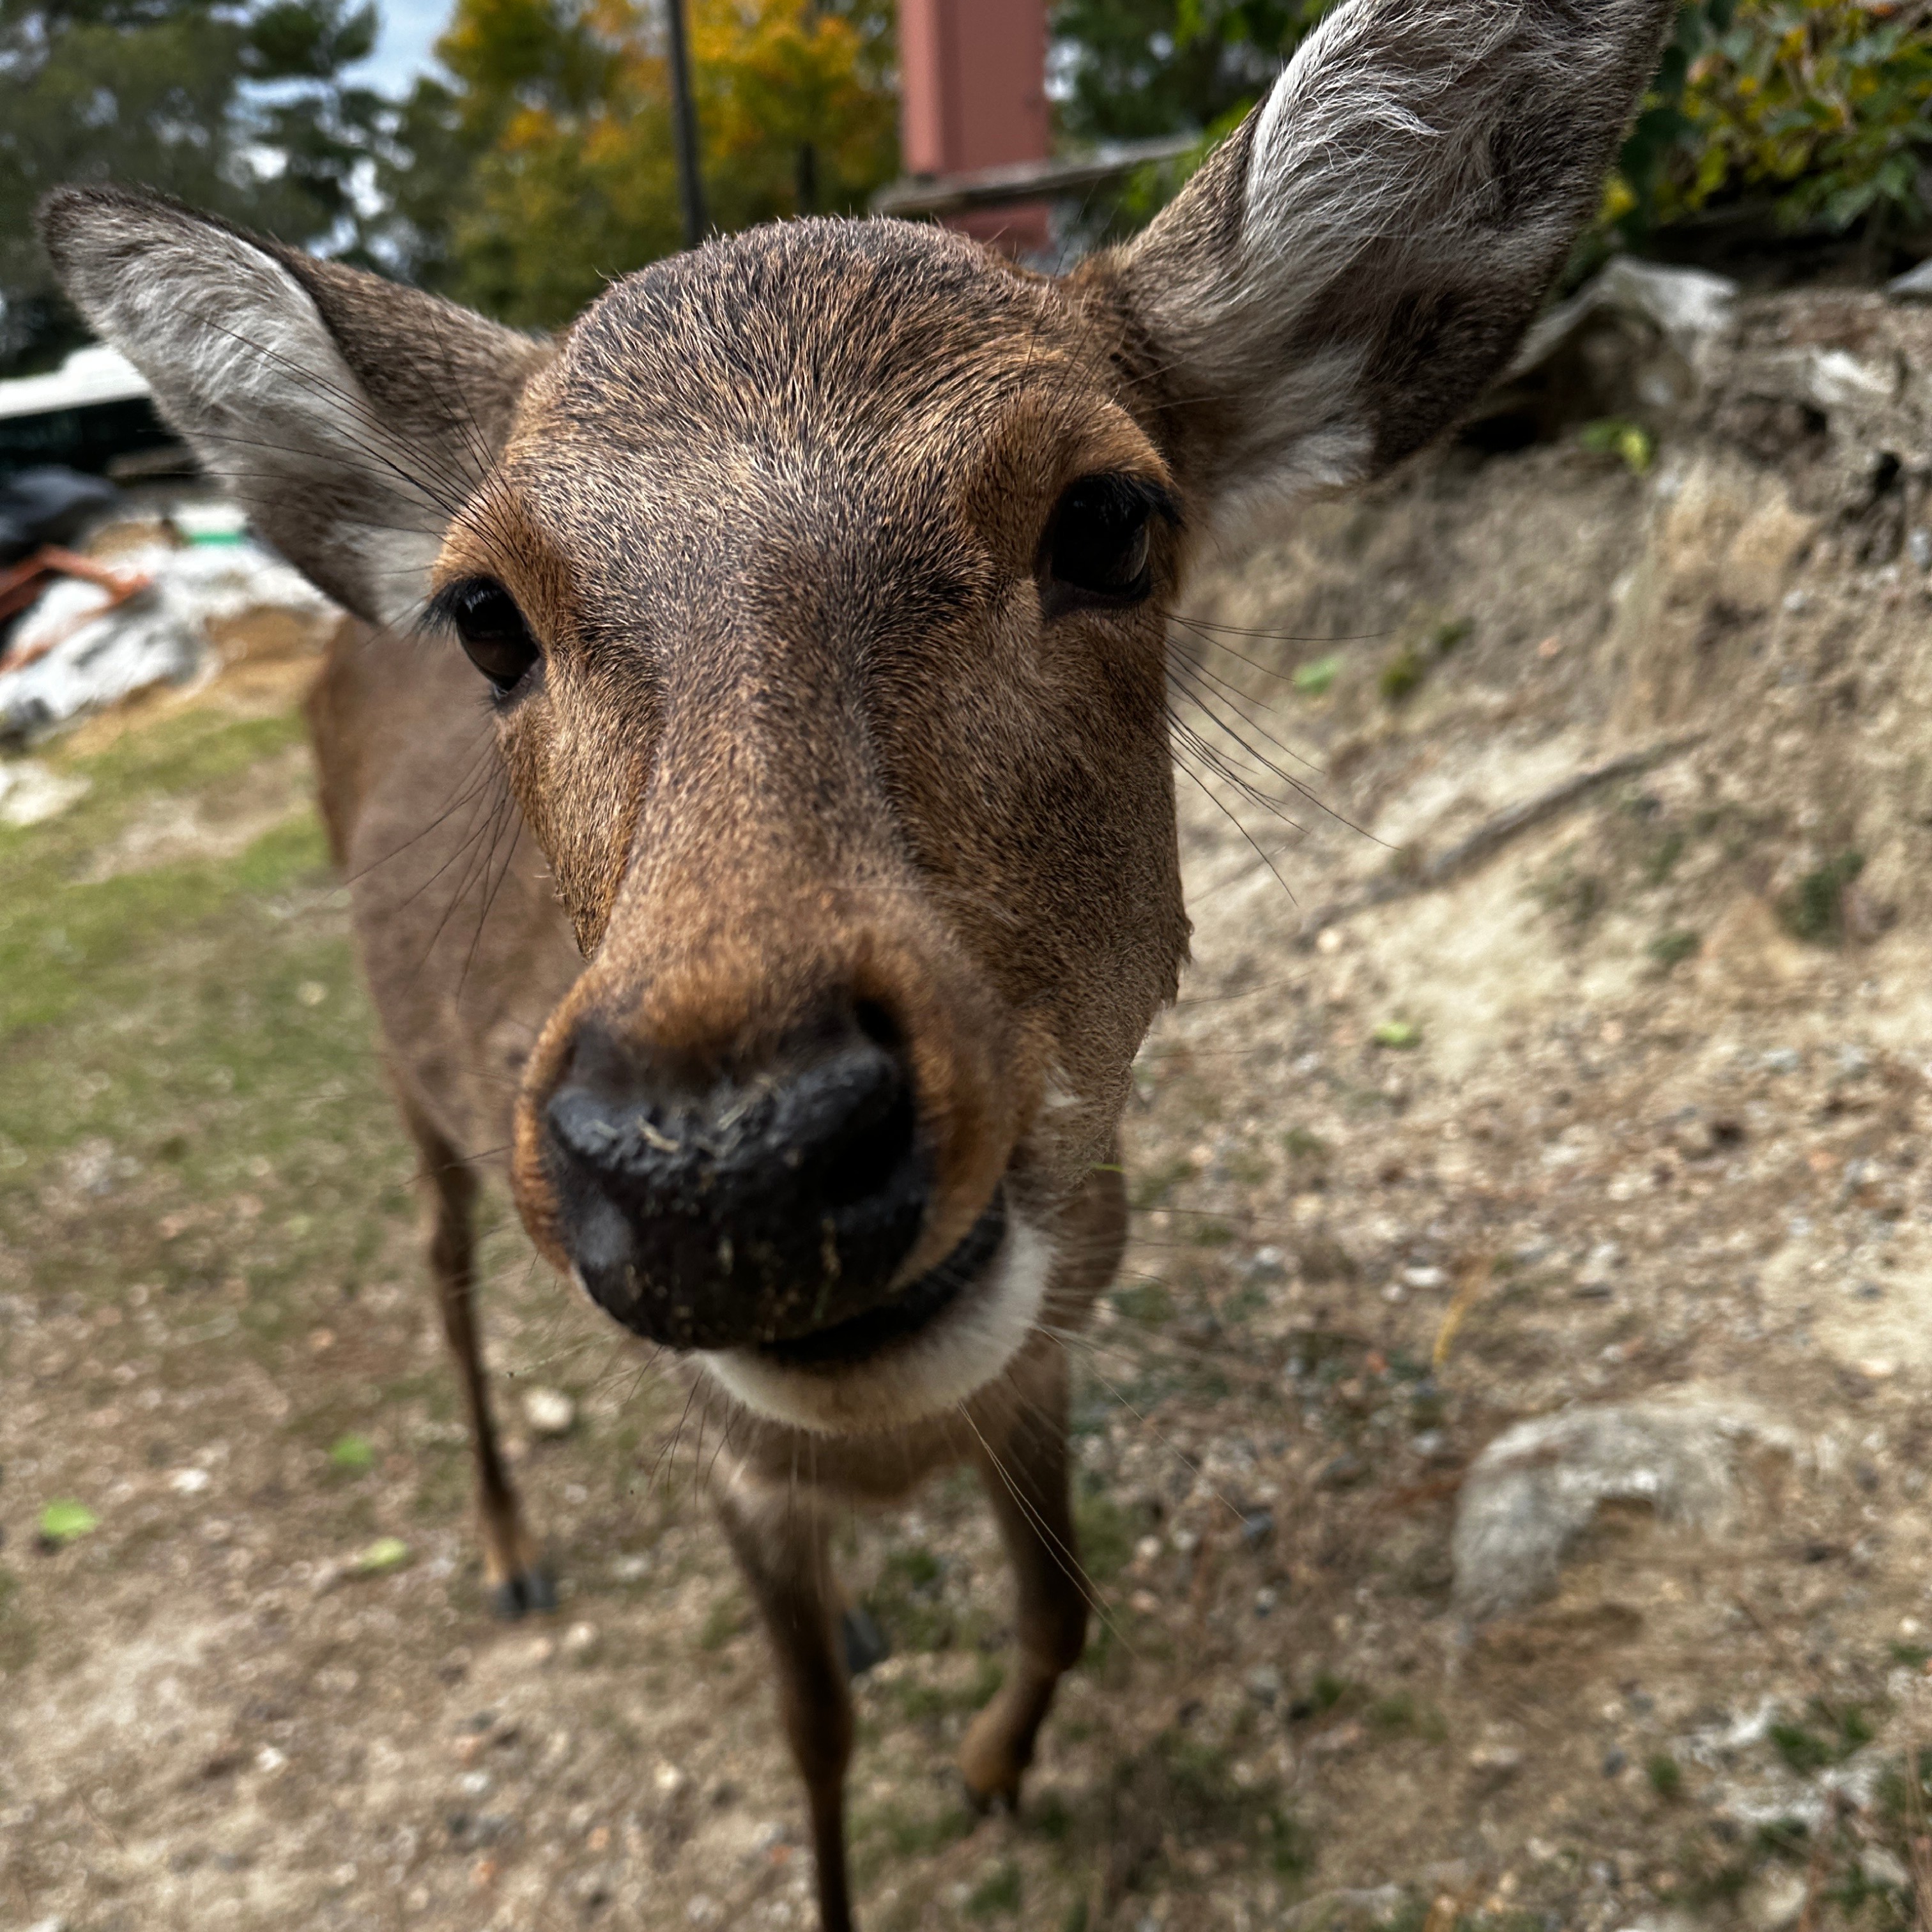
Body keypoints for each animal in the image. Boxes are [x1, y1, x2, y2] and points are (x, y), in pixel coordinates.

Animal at [41, 2, 1676, 1922]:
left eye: (1110, 518)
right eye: (488, 616)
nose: (726, 1169)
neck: (876, 1440)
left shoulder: (1045, 1348)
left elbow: (1067, 1603)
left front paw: (987, 1772)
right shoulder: (725, 1442)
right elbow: (806, 1738)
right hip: (410, 1086)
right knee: (438, 1269)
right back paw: (512, 1549)